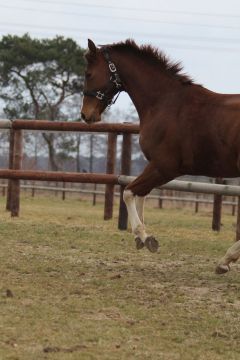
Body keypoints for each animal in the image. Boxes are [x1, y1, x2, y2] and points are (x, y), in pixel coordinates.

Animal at [81, 39, 240, 274]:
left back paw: (226, 259)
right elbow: (141, 193)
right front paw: (140, 238)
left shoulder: (165, 167)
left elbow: (128, 192)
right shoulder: (157, 167)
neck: (164, 102)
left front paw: (144, 236)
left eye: (89, 73)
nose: (86, 115)